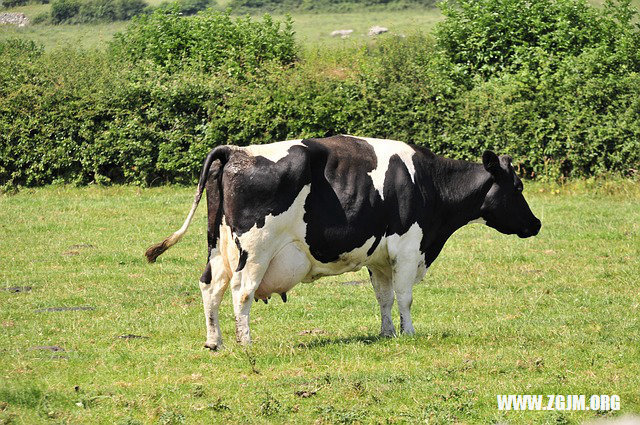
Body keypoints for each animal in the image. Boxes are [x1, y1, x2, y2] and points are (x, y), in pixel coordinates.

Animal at [145, 135, 540, 348]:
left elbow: (384, 297)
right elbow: (405, 296)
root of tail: (236, 151)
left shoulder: (379, 257)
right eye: (518, 186)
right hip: (255, 250)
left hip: (219, 247)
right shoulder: (408, 248)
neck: (428, 182)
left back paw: (215, 341)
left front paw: (387, 333)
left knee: (210, 287)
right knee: (241, 292)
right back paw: (246, 342)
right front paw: (410, 332)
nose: (536, 224)